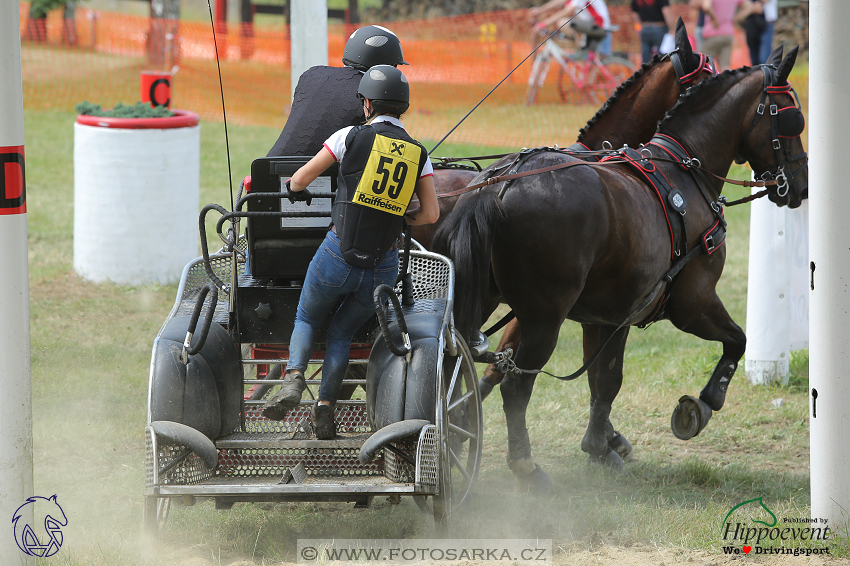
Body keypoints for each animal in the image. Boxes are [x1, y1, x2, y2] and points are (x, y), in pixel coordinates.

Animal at [434, 48, 804, 490]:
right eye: (793, 118)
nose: (800, 182)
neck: (683, 169)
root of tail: (500, 183)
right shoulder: (691, 303)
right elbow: (736, 341)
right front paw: (701, 404)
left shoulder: (606, 317)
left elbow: (603, 381)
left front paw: (600, 443)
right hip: (544, 317)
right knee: (516, 386)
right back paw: (524, 466)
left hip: (481, 300)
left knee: (451, 368)